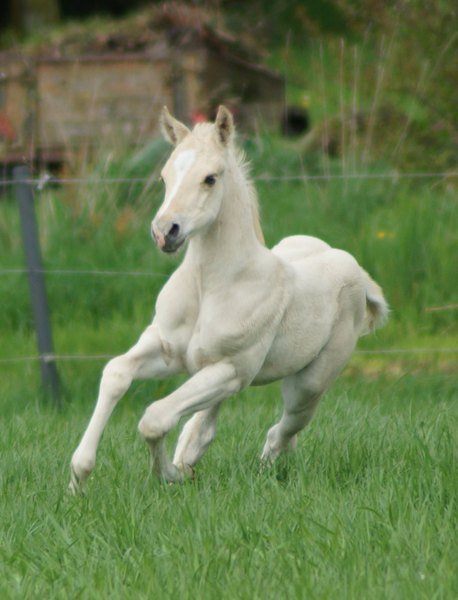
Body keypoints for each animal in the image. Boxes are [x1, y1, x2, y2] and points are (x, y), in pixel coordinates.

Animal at [69, 105, 388, 491]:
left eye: (209, 178)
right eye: (163, 177)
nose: (165, 232)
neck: (209, 288)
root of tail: (359, 274)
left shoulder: (233, 371)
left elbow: (154, 418)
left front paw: (168, 475)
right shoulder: (168, 350)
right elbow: (116, 373)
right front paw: (78, 480)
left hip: (307, 386)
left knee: (282, 431)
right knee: (206, 427)